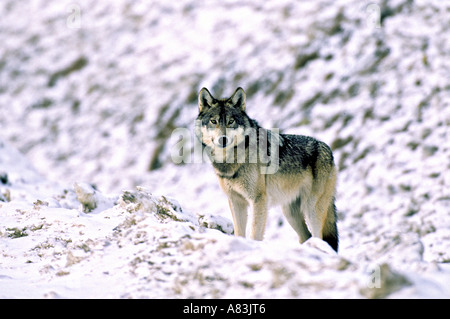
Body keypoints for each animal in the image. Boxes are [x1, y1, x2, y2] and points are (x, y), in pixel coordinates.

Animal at [193, 87, 338, 252]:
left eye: (231, 121)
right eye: (213, 121)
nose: (223, 140)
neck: (232, 161)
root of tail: (328, 150)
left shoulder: (258, 200)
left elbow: (255, 233)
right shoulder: (236, 201)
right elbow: (239, 232)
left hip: (311, 209)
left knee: (319, 237)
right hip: (290, 213)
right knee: (305, 236)